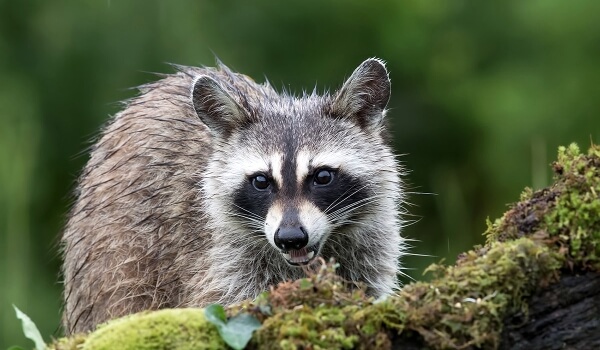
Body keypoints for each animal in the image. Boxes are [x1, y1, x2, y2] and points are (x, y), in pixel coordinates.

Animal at [61, 58, 406, 334]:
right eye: (261, 181)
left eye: (322, 177)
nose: (290, 238)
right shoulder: (218, 250)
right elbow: (228, 297)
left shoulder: (369, 243)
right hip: (115, 253)